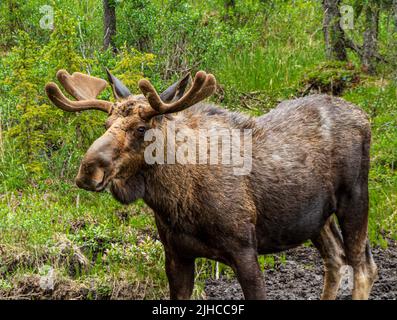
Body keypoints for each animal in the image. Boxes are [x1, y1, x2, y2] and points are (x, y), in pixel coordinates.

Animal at [44, 68, 376, 300]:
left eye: (141, 128)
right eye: (106, 124)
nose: (88, 170)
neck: (175, 202)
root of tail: (364, 117)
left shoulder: (245, 250)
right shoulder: (176, 254)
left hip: (355, 197)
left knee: (363, 267)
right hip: (316, 218)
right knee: (336, 259)